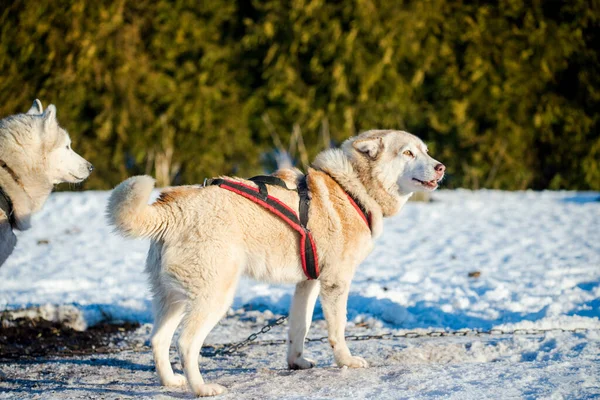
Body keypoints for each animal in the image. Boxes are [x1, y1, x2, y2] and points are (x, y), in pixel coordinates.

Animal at [109, 130, 446, 396]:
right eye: (408, 152)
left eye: (426, 150)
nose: (441, 167)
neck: (351, 188)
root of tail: (174, 208)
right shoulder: (336, 282)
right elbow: (338, 330)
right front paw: (347, 362)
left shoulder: (308, 282)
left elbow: (300, 326)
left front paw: (296, 362)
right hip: (214, 297)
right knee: (186, 343)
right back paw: (202, 388)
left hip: (173, 298)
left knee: (158, 340)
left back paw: (171, 382)